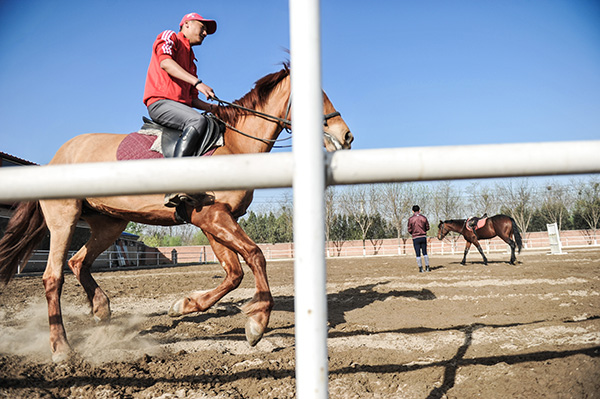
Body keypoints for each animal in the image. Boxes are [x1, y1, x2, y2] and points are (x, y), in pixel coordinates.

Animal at [0, 66, 354, 362]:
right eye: (315, 96)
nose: (346, 136)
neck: (234, 147)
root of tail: (55, 159)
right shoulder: (213, 217)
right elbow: (255, 256)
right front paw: (257, 323)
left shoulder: (212, 221)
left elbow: (233, 273)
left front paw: (184, 305)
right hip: (64, 219)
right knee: (53, 277)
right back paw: (61, 348)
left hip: (109, 223)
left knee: (78, 262)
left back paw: (101, 309)